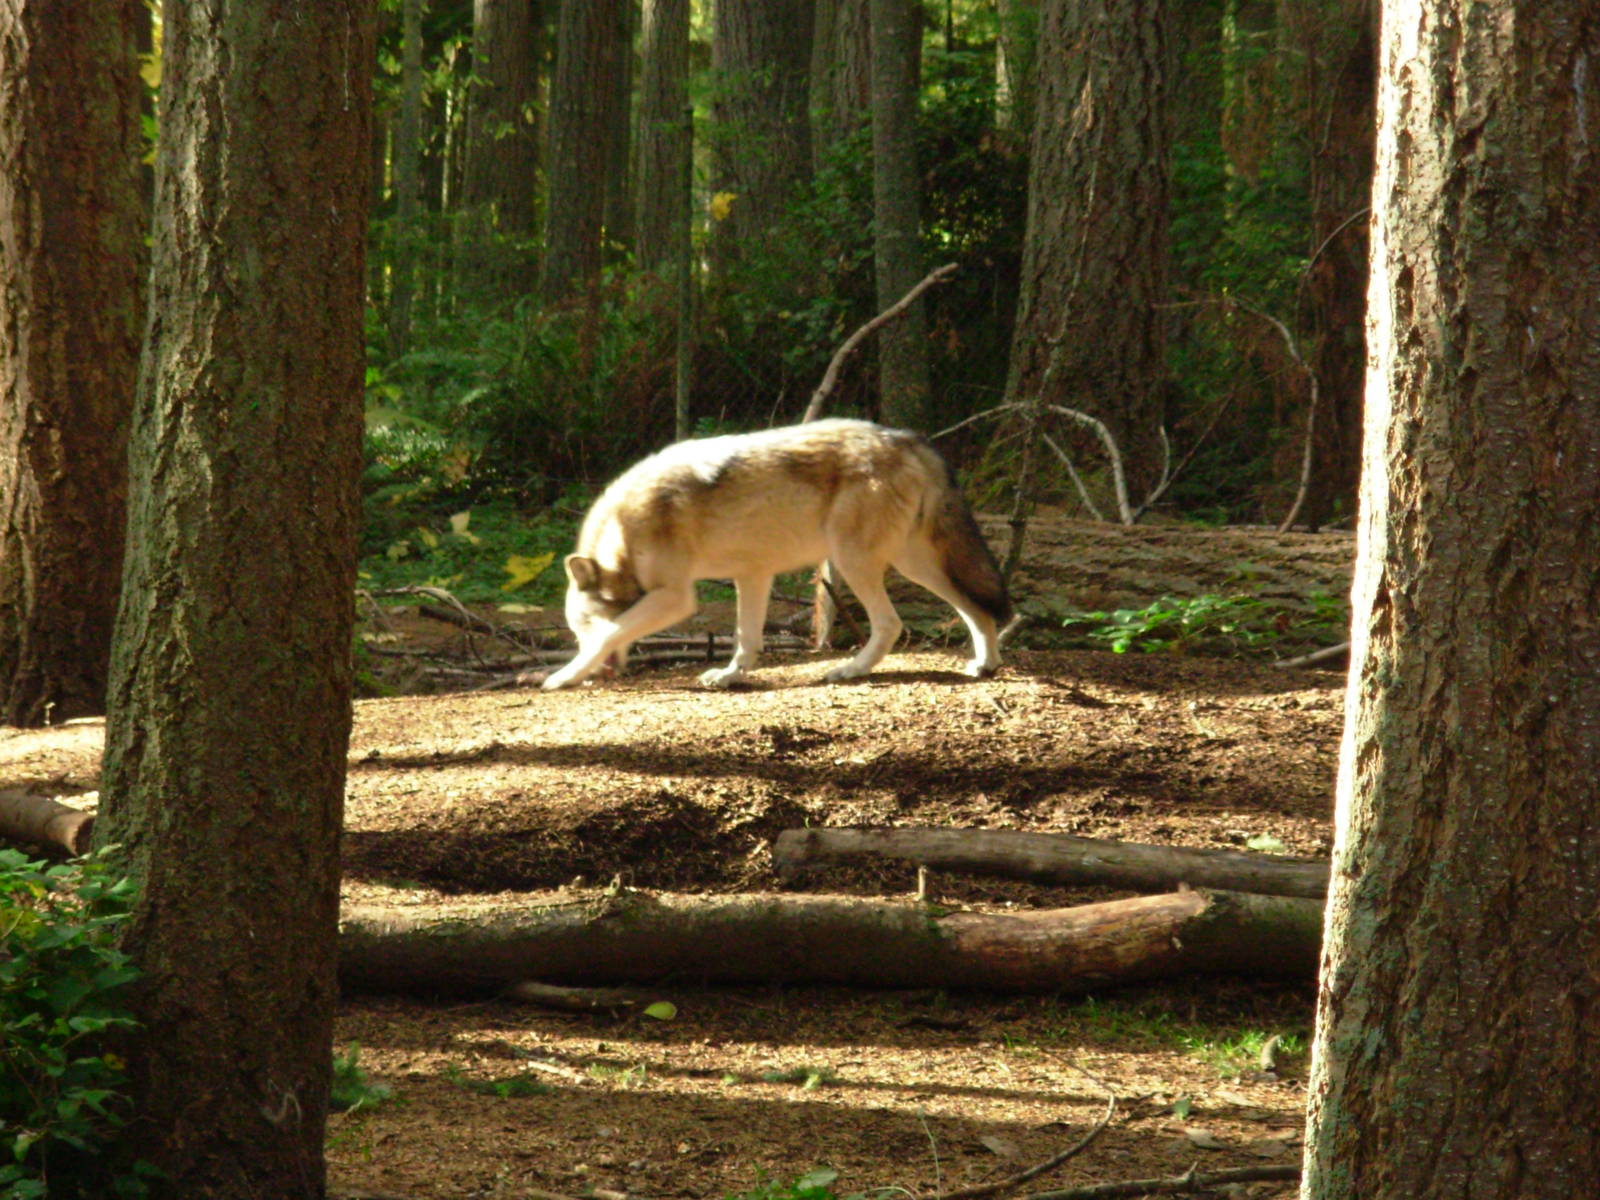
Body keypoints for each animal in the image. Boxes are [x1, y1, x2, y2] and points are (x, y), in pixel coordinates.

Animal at [541, 418, 1013, 690]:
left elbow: (613, 633)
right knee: (976, 609)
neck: (625, 532)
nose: (602, 676)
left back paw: (851, 670)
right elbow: (747, 638)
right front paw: (730, 676)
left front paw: (562, 676)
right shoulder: (752, 575)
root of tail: (910, 439)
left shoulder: (676, 598)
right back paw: (985, 665)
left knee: (890, 623)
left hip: (853, 561)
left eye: (582, 628)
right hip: (916, 565)